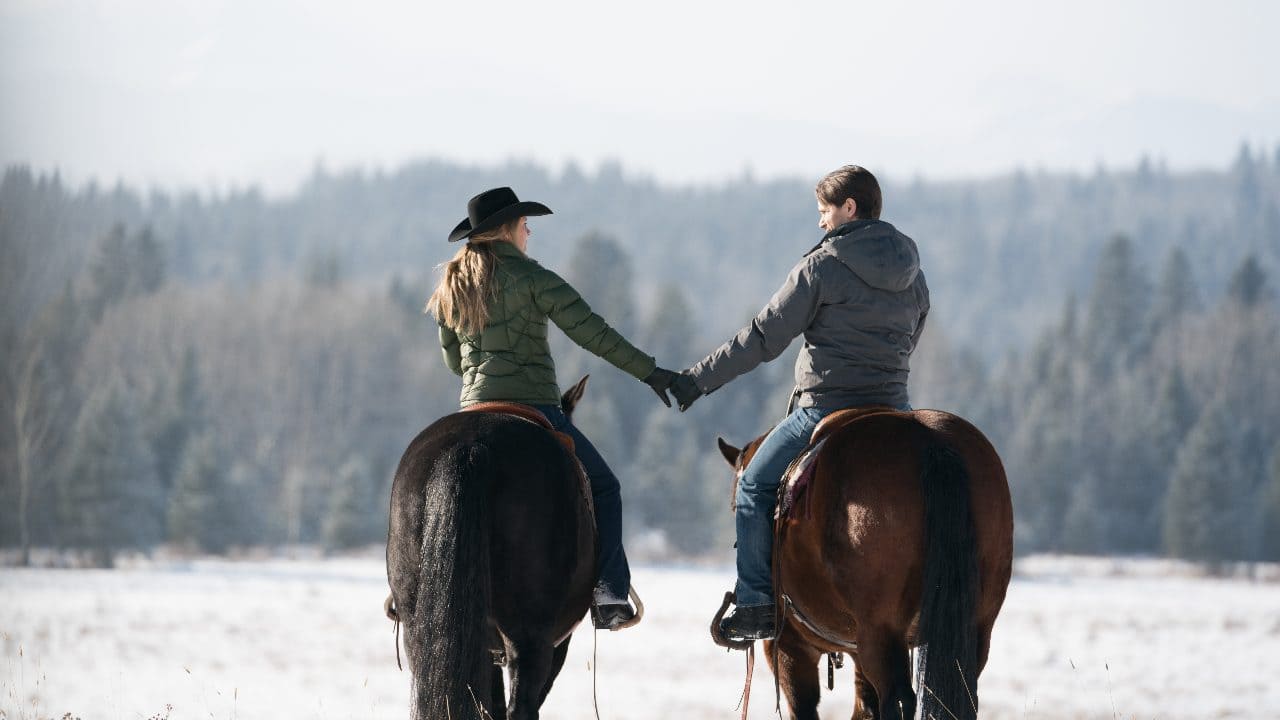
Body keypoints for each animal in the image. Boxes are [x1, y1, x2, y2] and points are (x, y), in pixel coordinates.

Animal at [721, 407, 1008, 717]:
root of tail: (930, 439)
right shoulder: (856, 651)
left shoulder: (788, 645)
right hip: (975, 626)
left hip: (881, 630)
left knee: (898, 699)